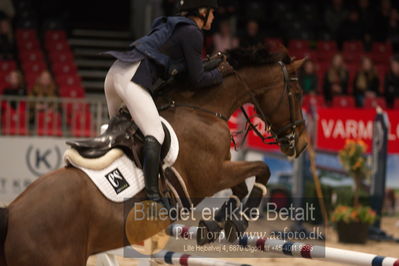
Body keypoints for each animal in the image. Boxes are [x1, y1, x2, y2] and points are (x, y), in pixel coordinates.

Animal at [0, 44, 310, 264]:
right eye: (297, 94)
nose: (303, 143)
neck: (203, 110)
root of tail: (12, 214)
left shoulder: (220, 171)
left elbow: (240, 187)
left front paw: (218, 222)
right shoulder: (210, 176)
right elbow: (261, 169)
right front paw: (240, 218)